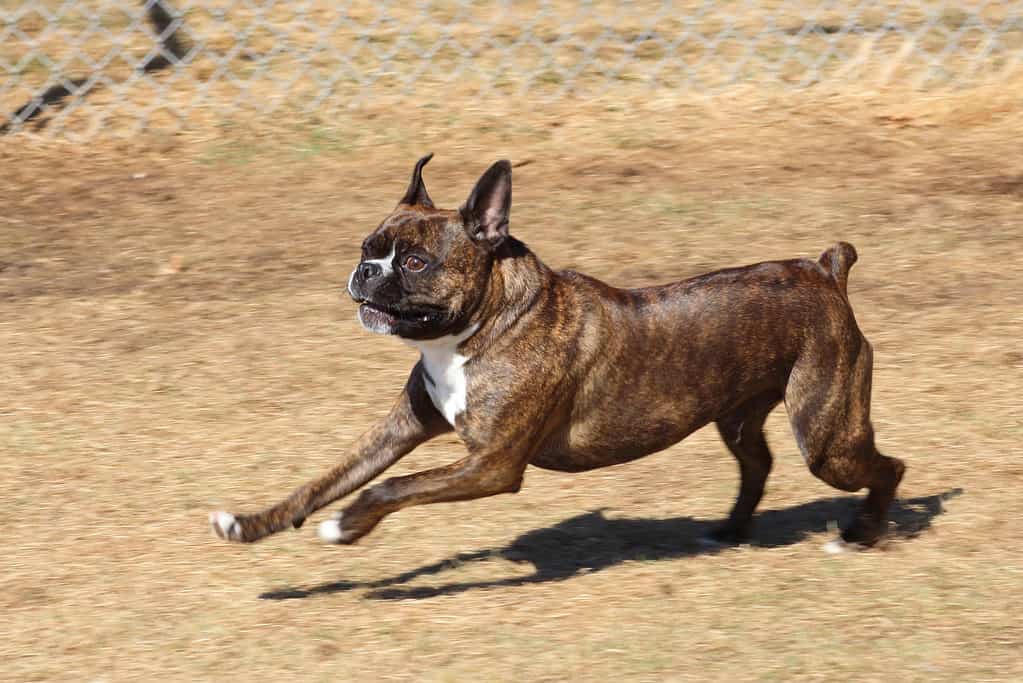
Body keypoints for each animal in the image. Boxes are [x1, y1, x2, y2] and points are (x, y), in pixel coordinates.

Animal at [207, 153, 904, 548]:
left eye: (414, 261)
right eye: (365, 247)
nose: (366, 273)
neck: (479, 330)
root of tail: (825, 272)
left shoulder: (491, 465)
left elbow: (391, 487)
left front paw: (346, 527)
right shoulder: (403, 428)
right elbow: (327, 480)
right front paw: (250, 524)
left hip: (827, 437)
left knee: (888, 468)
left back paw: (862, 534)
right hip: (740, 416)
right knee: (758, 465)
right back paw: (733, 530)